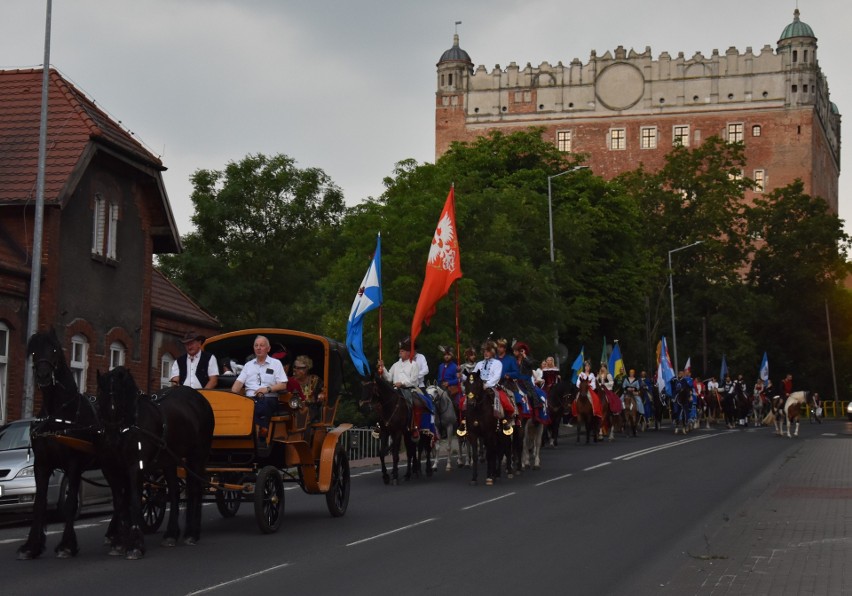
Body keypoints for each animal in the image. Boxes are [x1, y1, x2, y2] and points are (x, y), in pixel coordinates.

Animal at [17, 330, 114, 560]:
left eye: (54, 349)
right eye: (33, 351)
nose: (43, 375)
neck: (58, 414)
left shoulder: (73, 465)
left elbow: (70, 504)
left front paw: (67, 545)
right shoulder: (41, 465)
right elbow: (39, 503)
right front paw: (32, 546)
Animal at [95, 368, 213, 560]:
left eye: (121, 400)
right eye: (99, 399)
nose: (111, 441)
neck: (128, 426)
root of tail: (199, 398)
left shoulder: (136, 467)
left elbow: (134, 500)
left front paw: (135, 545)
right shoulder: (112, 470)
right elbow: (119, 503)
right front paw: (118, 543)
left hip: (197, 455)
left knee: (195, 489)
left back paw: (192, 533)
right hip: (170, 460)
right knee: (174, 492)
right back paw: (171, 534)